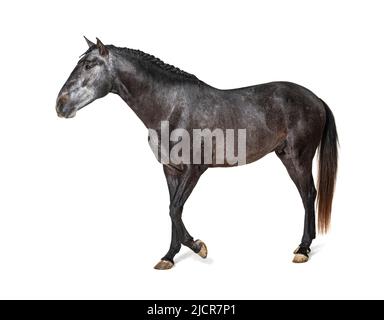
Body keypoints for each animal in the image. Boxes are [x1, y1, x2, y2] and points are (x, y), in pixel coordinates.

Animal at [55, 36, 338, 268]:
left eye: (89, 65)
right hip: (288, 157)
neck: (171, 107)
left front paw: (198, 247)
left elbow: (175, 209)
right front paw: (169, 257)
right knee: (307, 195)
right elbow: (172, 209)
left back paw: (303, 249)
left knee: (308, 194)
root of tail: (316, 99)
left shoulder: (194, 170)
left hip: (298, 159)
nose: (60, 105)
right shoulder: (170, 170)